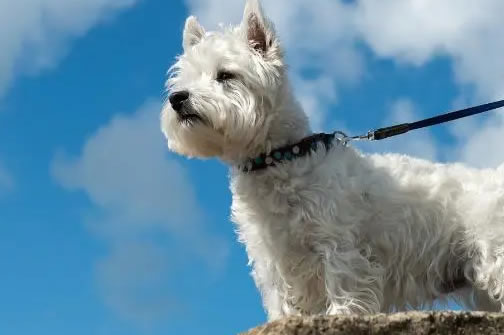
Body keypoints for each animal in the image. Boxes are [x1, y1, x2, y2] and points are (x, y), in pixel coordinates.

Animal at [160, 0, 504, 320]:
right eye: (184, 79)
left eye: (225, 75)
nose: (177, 99)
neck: (281, 159)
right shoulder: (272, 259)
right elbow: (282, 301)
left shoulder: (337, 243)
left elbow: (342, 287)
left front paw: (341, 315)